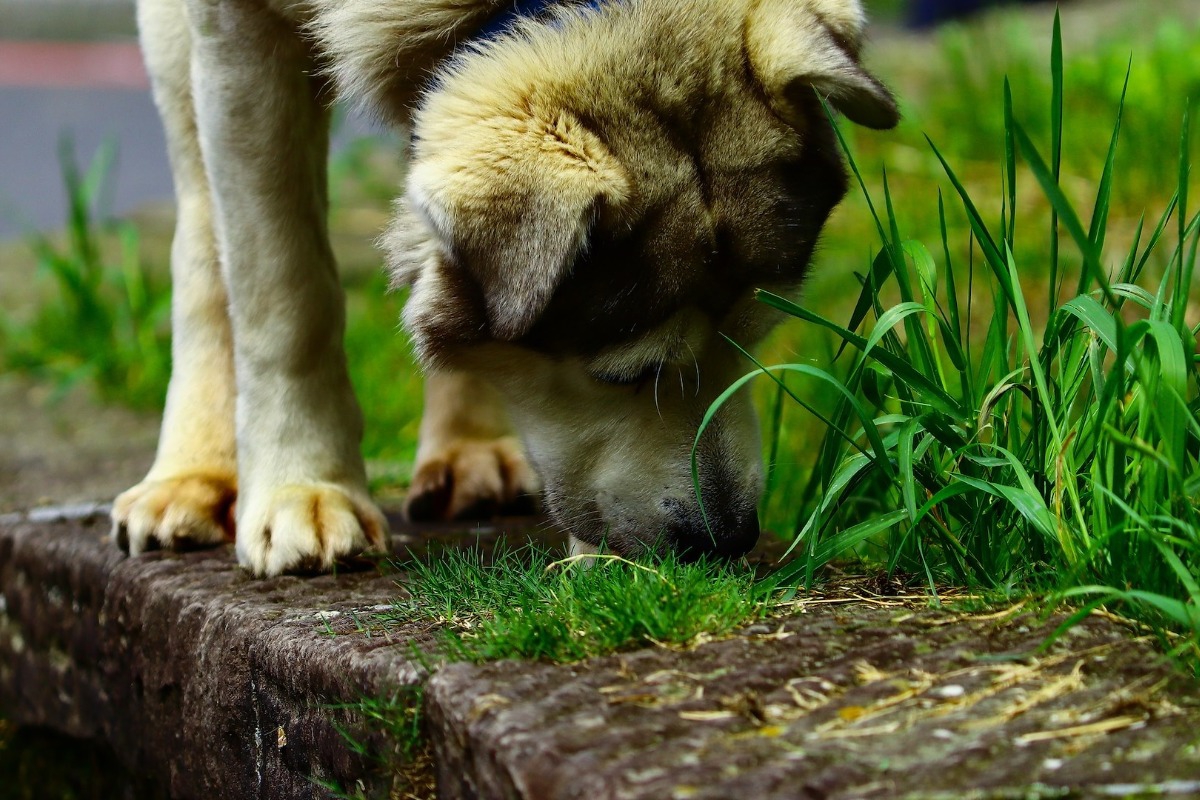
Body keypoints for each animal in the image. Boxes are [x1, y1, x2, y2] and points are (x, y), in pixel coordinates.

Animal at [112, 0, 897, 575]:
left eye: (753, 341)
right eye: (627, 375)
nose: (728, 538)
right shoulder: (235, 31)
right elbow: (283, 292)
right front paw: (302, 486)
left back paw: (471, 449)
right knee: (205, 228)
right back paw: (191, 474)